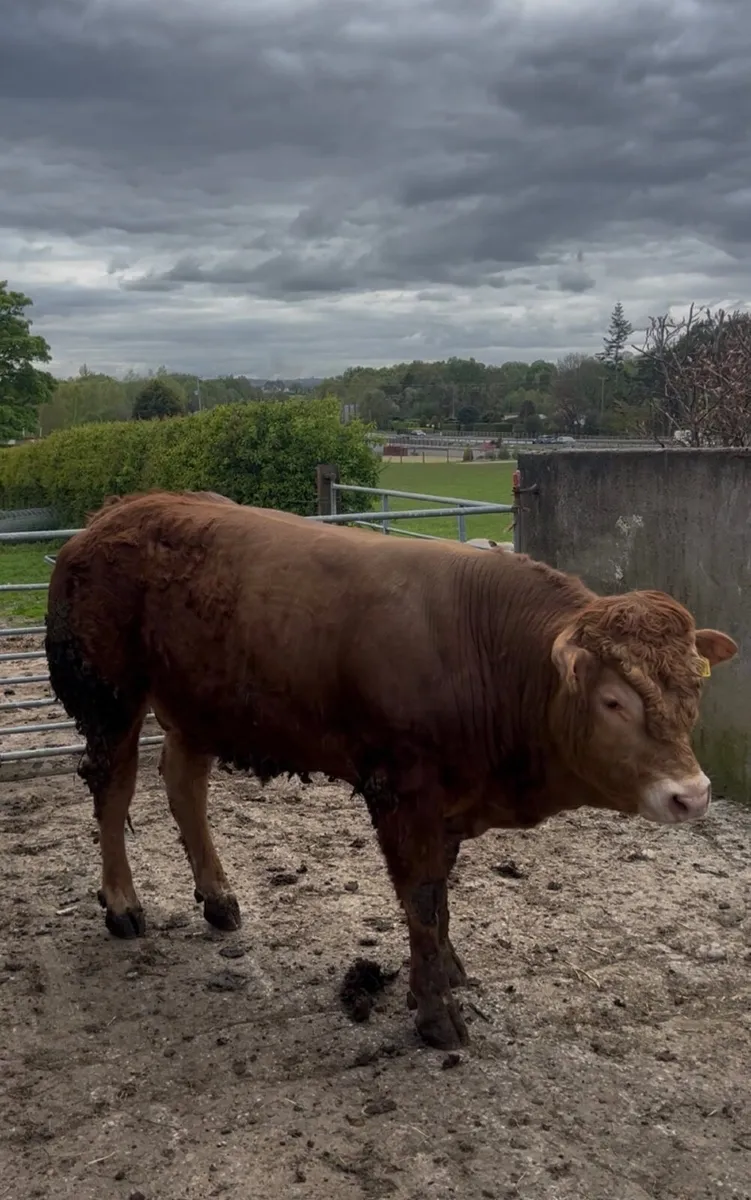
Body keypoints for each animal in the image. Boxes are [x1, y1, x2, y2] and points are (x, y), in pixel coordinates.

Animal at [44, 490, 737, 1050]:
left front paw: (447, 970)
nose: (692, 794)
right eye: (613, 700)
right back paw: (122, 905)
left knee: (184, 782)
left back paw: (218, 898)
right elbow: (422, 897)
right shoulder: (404, 792)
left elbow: (439, 894)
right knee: (113, 788)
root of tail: (112, 516)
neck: (485, 653)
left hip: (197, 702)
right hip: (110, 697)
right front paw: (436, 1014)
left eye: (693, 688)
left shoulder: (449, 801)